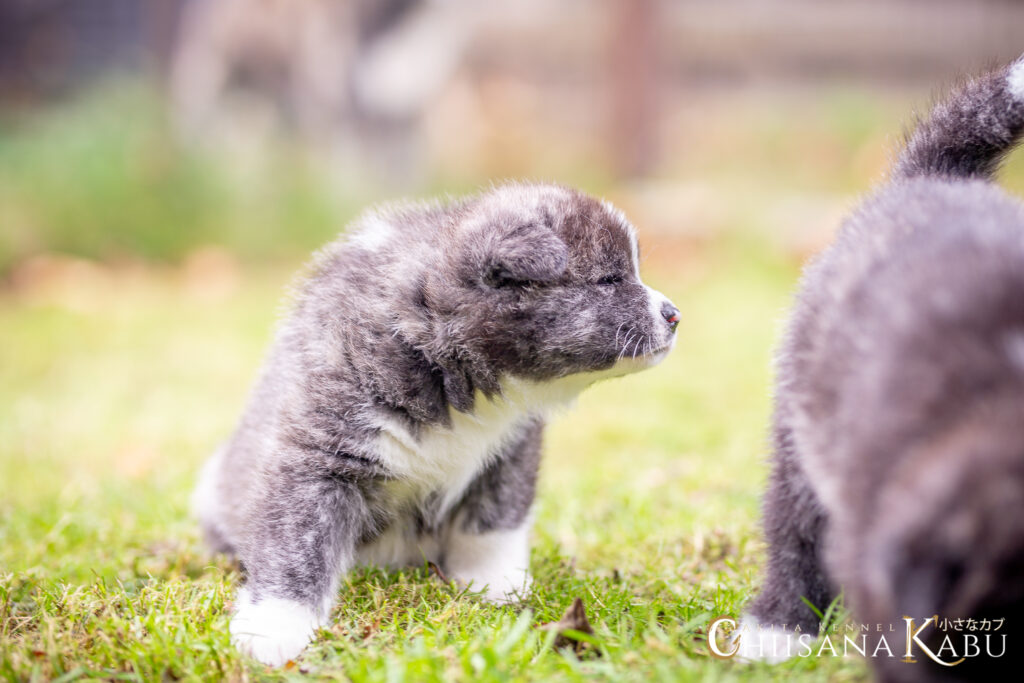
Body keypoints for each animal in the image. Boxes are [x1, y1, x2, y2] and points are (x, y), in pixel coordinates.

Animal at [196, 183, 684, 667]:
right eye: (610, 280)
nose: (675, 315)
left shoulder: (511, 452)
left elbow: (493, 522)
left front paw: (496, 584)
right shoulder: (319, 455)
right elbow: (297, 545)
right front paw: (273, 629)